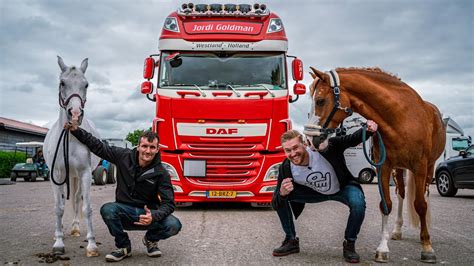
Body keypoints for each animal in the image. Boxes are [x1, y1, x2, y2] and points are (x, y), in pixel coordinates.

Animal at [43, 55, 101, 256]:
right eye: (62, 83)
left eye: (86, 84)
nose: (75, 114)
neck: (70, 138)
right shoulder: (56, 175)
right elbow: (58, 208)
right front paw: (58, 243)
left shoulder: (85, 173)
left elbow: (87, 207)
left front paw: (91, 245)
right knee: (62, 201)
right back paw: (58, 230)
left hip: (75, 177)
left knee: (76, 198)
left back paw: (75, 227)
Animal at [308, 67, 444, 262]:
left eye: (320, 101)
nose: (312, 141)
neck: (401, 119)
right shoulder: (384, 167)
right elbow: (386, 204)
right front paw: (382, 248)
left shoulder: (420, 167)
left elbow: (420, 205)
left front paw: (427, 247)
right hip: (399, 170)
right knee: (401, 194)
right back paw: (397, 230)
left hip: (429, 167)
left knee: (424, 197)